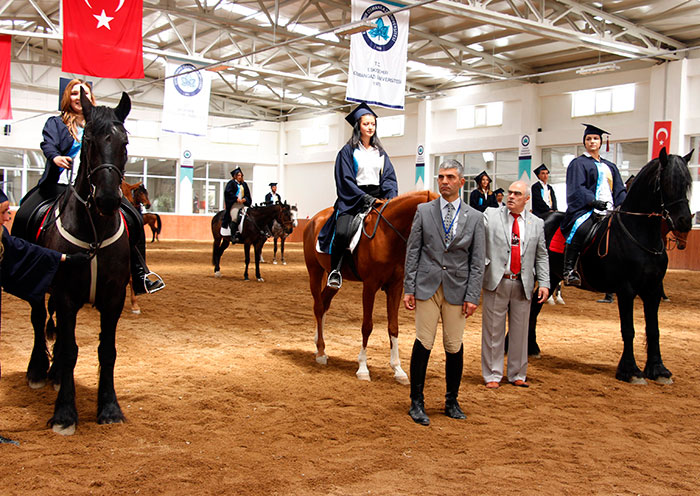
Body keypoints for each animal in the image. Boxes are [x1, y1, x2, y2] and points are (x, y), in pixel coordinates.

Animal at [21, 89, 133, 434]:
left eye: (124, 142)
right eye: (88, 141)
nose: (108, 199)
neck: (94, 226)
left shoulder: (114, 298)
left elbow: (107, 351)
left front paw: (109, 408)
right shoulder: (67, 295)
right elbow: (70, 349)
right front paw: (65, 414)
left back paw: (55, 374)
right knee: (38, 321)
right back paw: (38, 371)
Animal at [302, 190, 438, 384]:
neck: (387, 235)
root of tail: (313, 220)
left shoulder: (395, 287)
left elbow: (393, 327)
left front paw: (398, 370)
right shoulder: (370, 285)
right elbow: (367, 326)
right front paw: (363, 368)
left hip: (332, 279)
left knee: (324, 304)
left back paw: (318, 346)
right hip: (315, 271)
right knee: (319, 307)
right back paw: (321, 352)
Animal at [528, 147, 692, 384]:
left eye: (687, 182)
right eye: (667, 182)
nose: (684, 222)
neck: (641, 234)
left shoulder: (652, 290)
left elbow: (654, 330)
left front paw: (659, 370)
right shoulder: (626, 289)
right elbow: (628, 329)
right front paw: (631, 371)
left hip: (551, 277)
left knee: (535, 305)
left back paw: (531, 347)